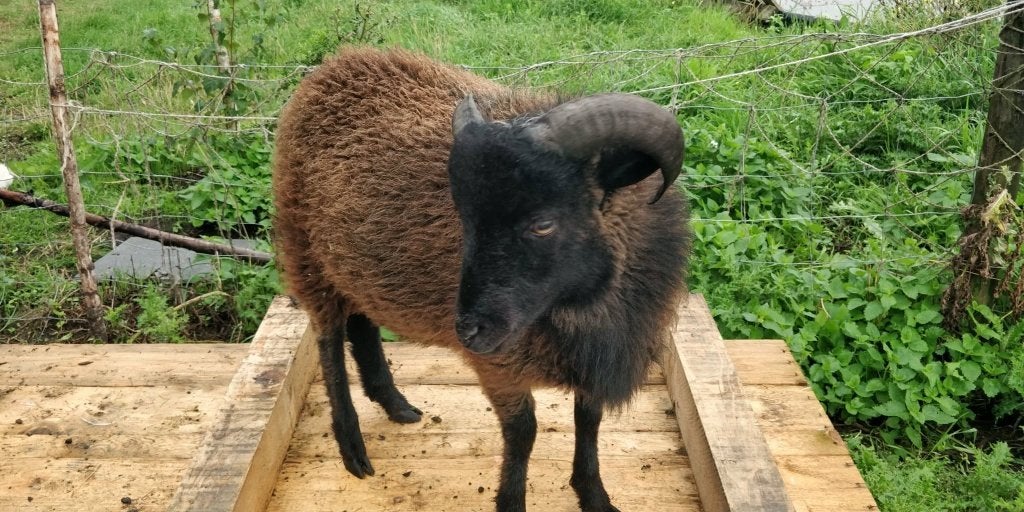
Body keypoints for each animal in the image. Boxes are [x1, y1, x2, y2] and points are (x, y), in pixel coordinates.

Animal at [272, 47, 690, 512]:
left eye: (543, 223)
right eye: (464, 217)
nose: (468, 330)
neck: (582, 308)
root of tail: (336, 63)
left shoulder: (596, 358)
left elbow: (589, 419)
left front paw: (594, 495)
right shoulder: (500, 365)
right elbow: (523, 432)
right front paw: (511, 501)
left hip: (353, 264)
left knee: (362, 324)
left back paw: (396, 405)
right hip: (304, 248)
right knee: (328, 340)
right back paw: (352, 449)